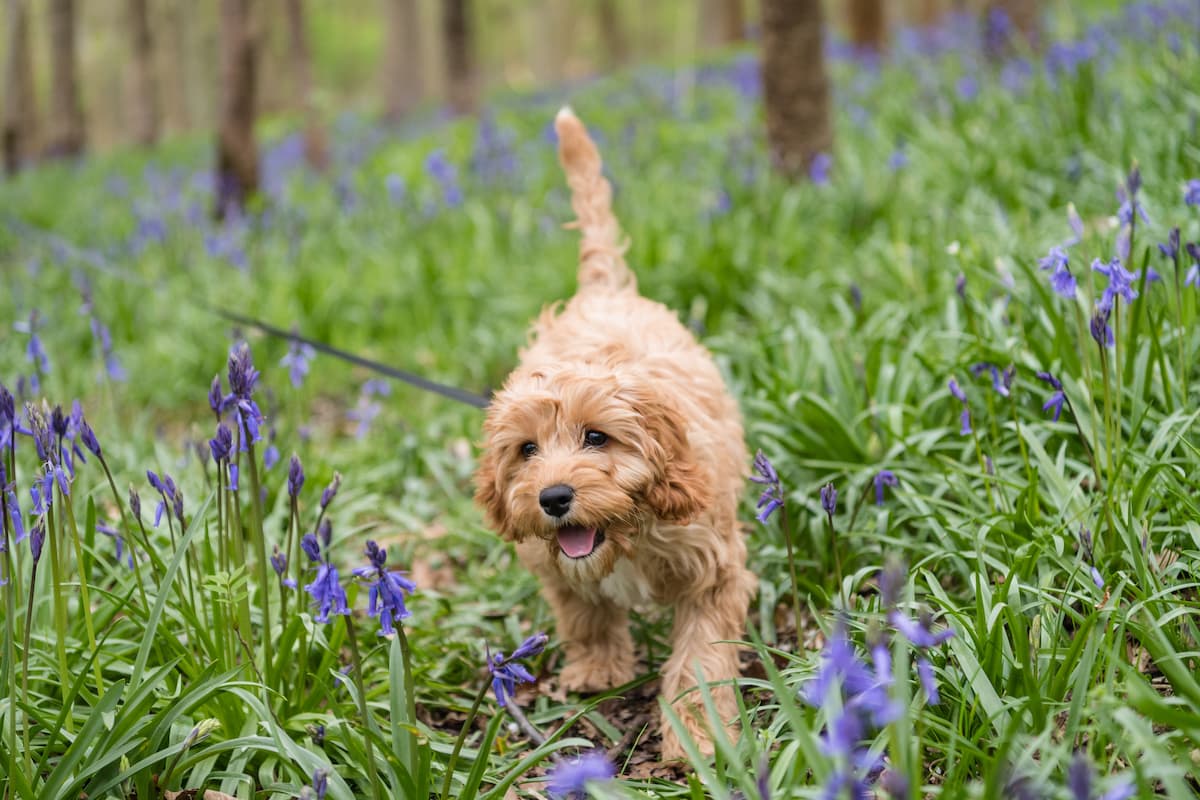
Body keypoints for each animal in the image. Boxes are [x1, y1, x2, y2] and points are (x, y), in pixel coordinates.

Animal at [472, 107, 753, 762]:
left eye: (597, 438)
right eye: (527, 450)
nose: (553, 499)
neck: (629, 530)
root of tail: (603, 290)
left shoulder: (714, 570)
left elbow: (700, 660)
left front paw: (700, 737)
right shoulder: (556, 564)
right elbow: (584, 613)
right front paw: (599, 670)